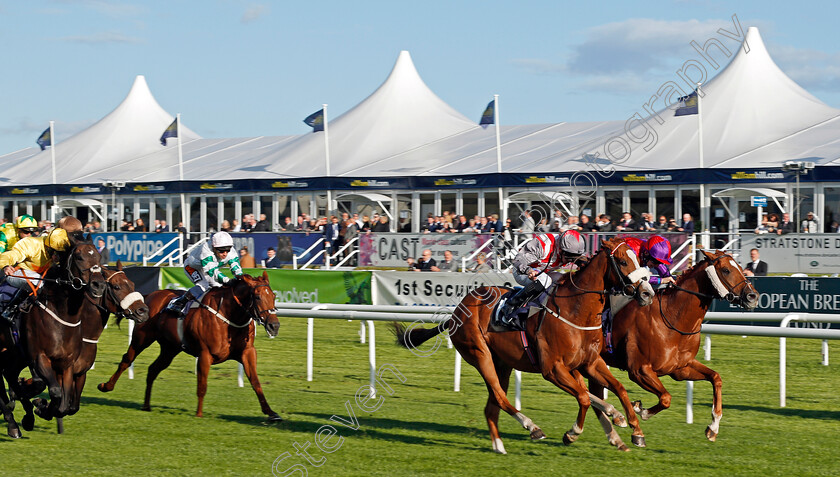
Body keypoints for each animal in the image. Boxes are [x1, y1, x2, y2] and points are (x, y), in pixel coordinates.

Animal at [97, 272, 284, 420]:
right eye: (258, 297)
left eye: (274, 296)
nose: (274, 325)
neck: (229, 317)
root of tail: (149, 296)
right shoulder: (205, 354)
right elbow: (202, 385)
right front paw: (199, 413)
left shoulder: (247, 352)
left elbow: (256, 382)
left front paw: (271, 413)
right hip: (142, 338)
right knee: (127, 359)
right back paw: (106, 386)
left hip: (170, 349)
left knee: (153, 369)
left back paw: (146, 405)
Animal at [398, 238, 656, 454]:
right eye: (623, 261)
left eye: (639, 260)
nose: (647, 293)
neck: (575, 311)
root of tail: (455, 313)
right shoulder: (552, 369)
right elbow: (583, 398)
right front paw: (572, 433)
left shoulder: (590, 362)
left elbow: (618, 389)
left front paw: (635, 429)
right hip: (480, 354)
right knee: (500, 397)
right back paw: (533, 428)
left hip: (503, 363)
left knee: (492, 405)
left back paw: (499, 446)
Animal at [592, 251, 760, 440]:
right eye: (726, 270)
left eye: (739, 266)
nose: (753, 296)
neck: (672, 318)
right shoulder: (639, 370)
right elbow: (666, 398)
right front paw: (641, 410)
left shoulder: (680, 368)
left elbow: (716, 378)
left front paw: (713, 426)